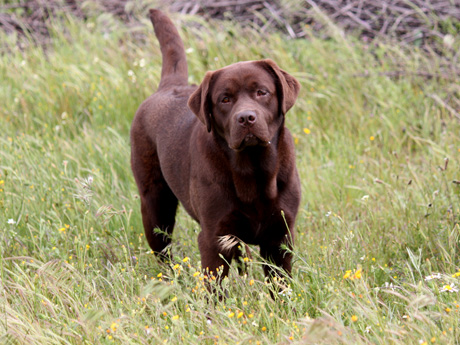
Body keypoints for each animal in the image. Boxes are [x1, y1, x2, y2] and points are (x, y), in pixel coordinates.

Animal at [130, 10, 302, 280]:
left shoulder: (280, 236)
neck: (253, 169)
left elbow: (280, 282)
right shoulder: (213, 237)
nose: (246, 118)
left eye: (262, 92)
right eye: (225, 99)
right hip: (155, 205)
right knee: (163, 251)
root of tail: (170, 85)